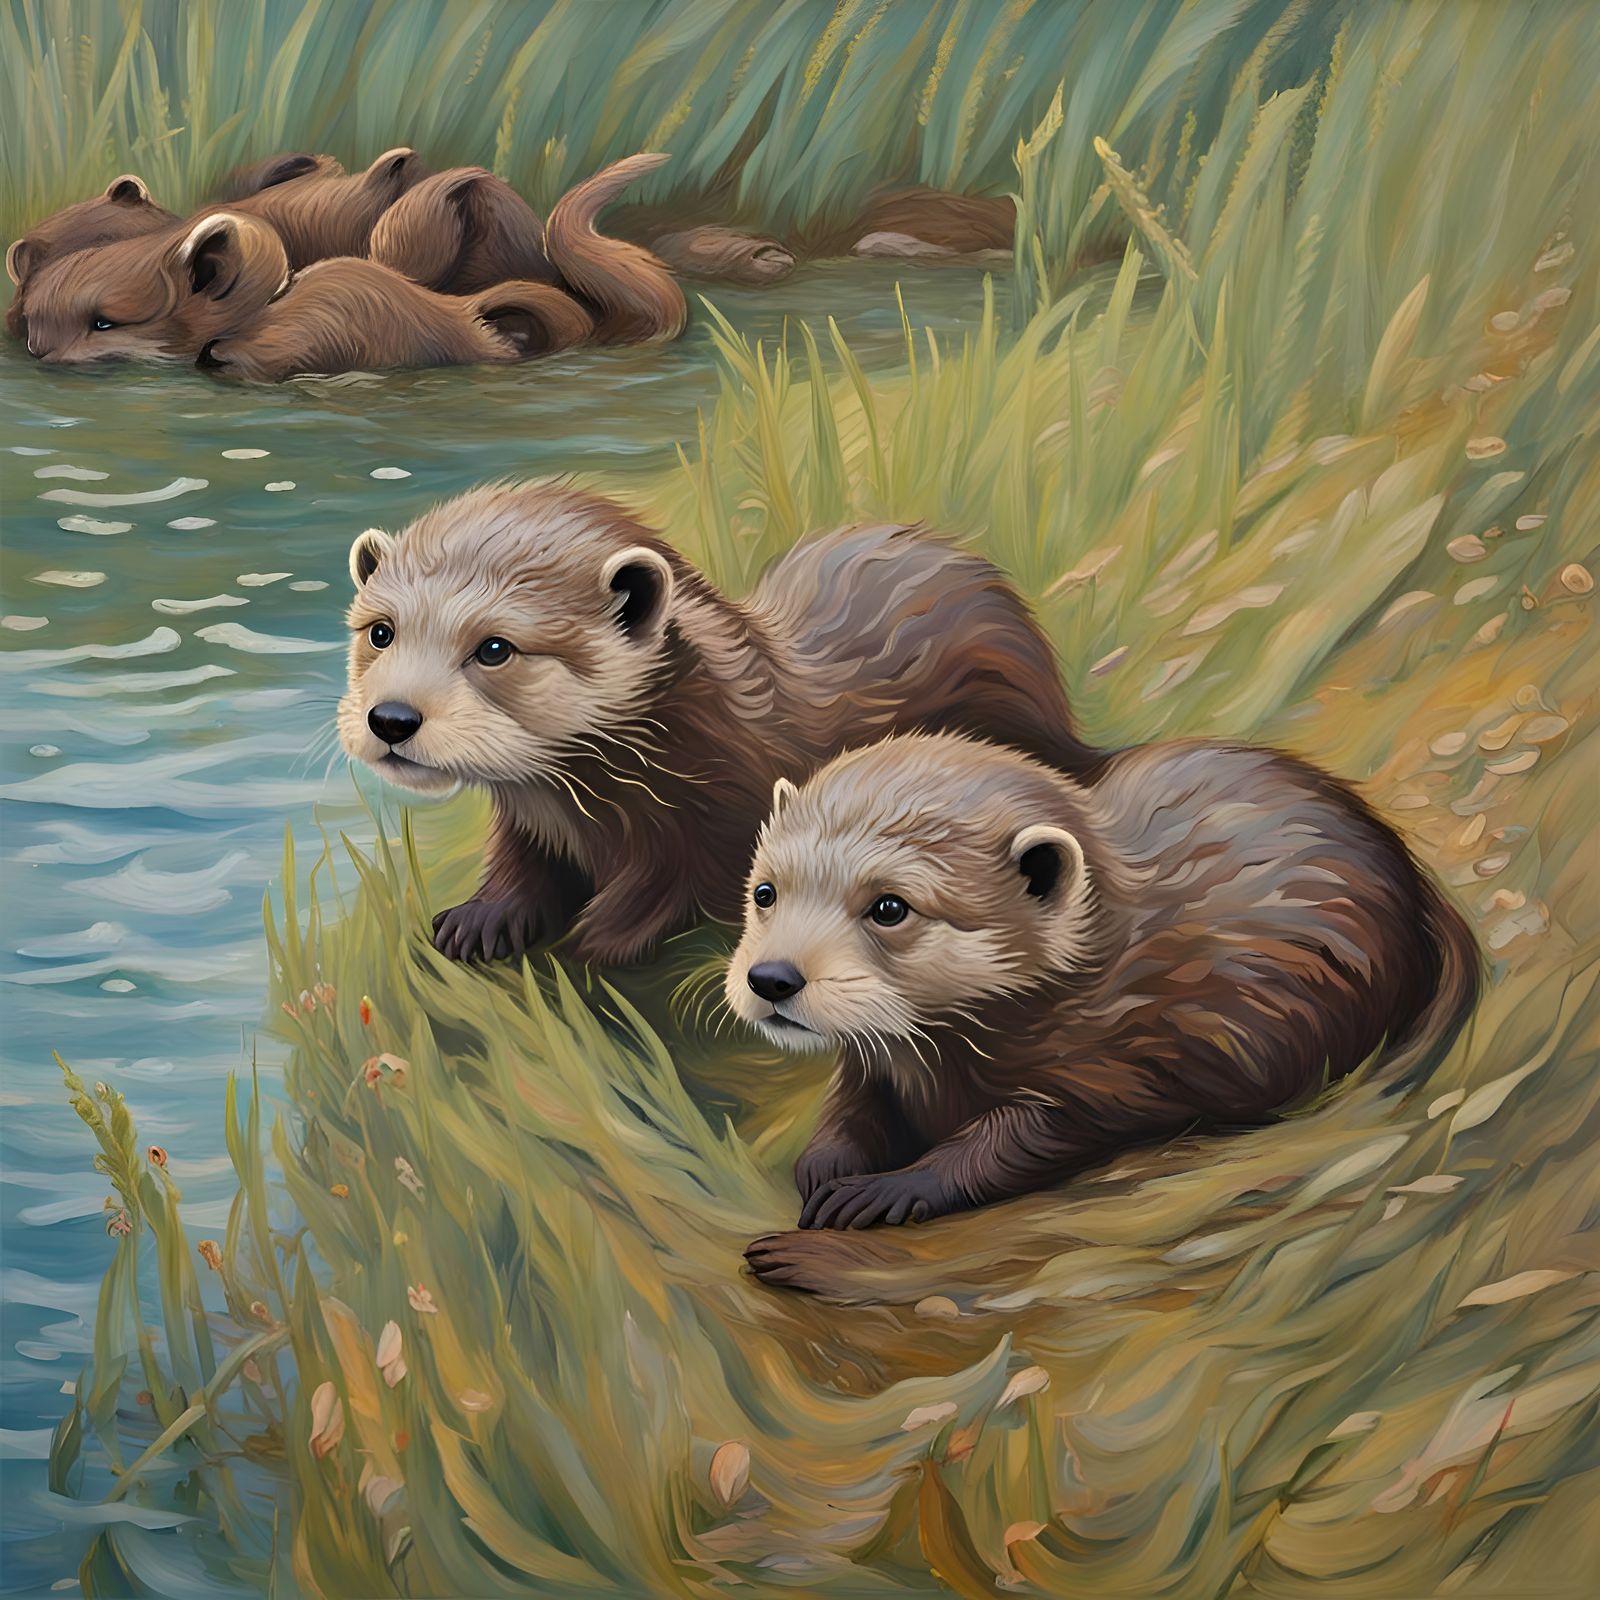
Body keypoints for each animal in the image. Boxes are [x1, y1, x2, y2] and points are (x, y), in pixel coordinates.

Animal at [336, 483, 1098, 967]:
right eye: (381, 630)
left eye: (495, 647)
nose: (393, 717)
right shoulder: (532, 826)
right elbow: (519, 868)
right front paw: (482, 919)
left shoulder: (715, 816)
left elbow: (679, 886)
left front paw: (594, 943)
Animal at [729, 733, 1479, 1283]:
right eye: (765, 890)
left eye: (889, 907)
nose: (773, 977)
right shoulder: (876, 1067)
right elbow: (850, 1102)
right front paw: (827, 1165)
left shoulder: (1106, 1070)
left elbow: (1003, 1144)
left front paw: (881, 1190)